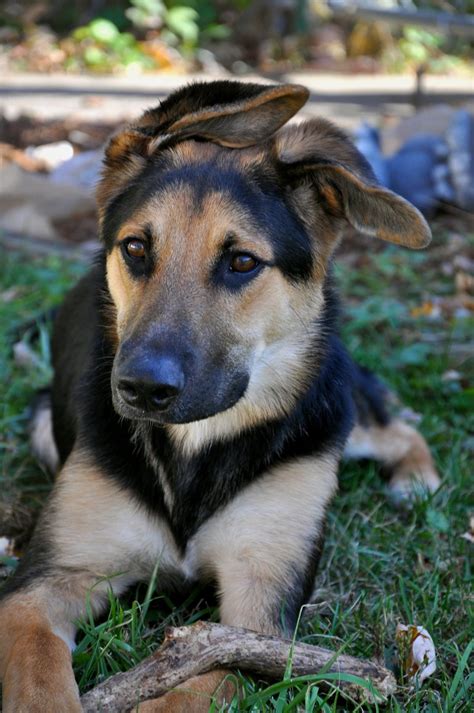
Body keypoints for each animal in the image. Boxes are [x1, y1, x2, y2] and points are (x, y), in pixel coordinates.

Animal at [0, 80, 440, 708]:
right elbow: (40, 676)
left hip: (335, 412)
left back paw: (416, 480)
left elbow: (193, 690)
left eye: (242, 262)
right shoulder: (42, 586)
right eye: (135, 249)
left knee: (394, 425)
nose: (141, 388)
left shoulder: (257, 613)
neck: (195, 447)